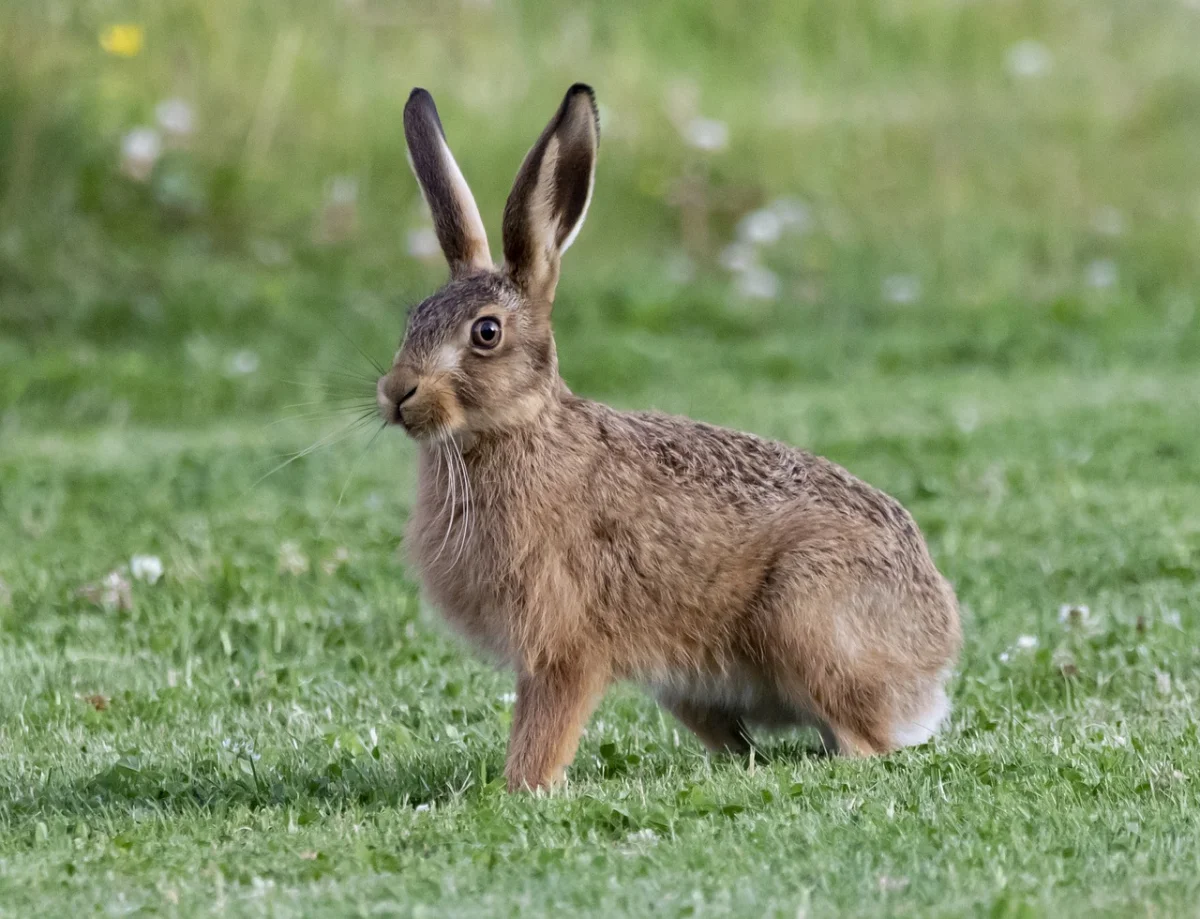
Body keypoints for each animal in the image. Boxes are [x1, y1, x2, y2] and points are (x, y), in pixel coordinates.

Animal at [376, 84, 961, 791]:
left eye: (485, 333)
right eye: (413, 319)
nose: (396, 393)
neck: (515, 431)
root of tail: (935, 654)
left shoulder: (565, 646)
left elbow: (543, 730)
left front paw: (523, 789)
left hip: (808, 619)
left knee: (863, 743)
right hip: (690, 689)